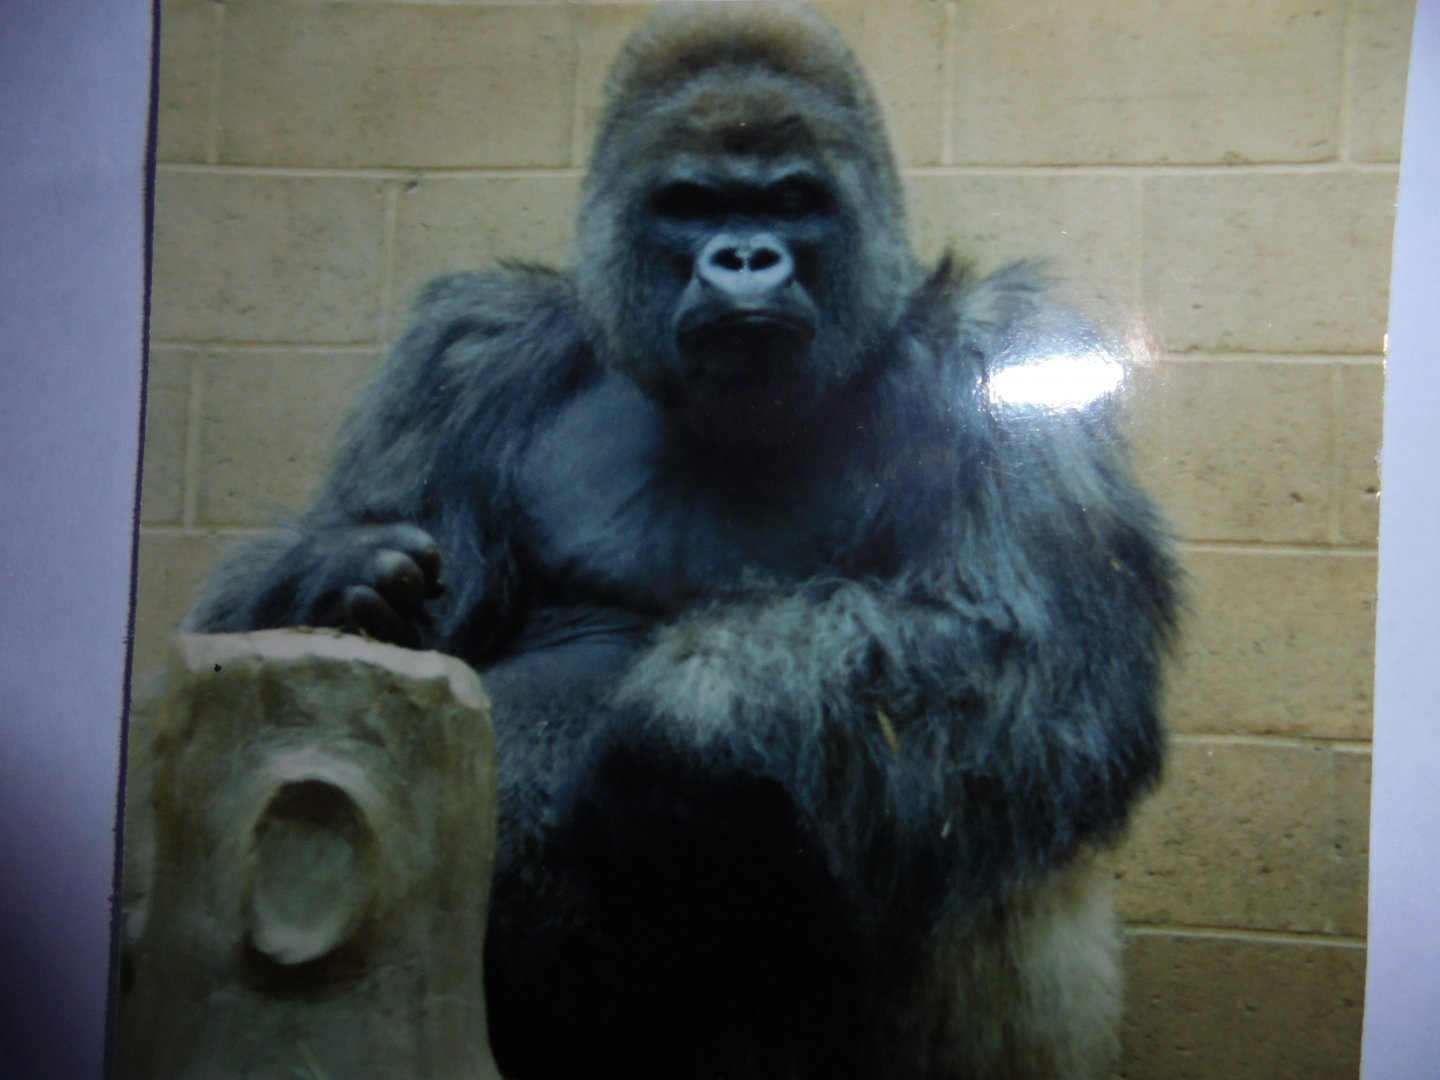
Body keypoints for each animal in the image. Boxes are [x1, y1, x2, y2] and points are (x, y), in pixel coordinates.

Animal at [183, 5, 1177, 1077]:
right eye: (692, 205)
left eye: (791, 200)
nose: (744, 259)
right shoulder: (468, 353)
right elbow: (259, 625)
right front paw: (339, 580)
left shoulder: (998, 357)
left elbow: (1035, 663)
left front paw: (689, 721)